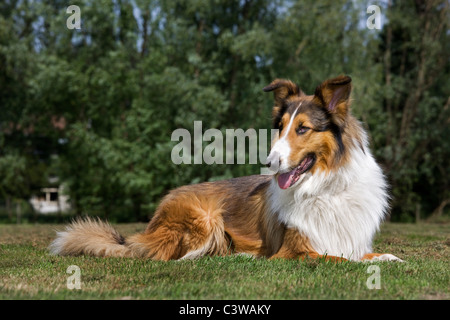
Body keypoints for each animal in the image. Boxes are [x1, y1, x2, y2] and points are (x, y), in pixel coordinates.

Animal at [51, 75, 402, 262]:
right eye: (280, 128)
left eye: (303, 129)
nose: (269, 163)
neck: (324, 188)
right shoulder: (294, 252)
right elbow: (337, 259)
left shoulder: (350, 241)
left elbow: (361, 255)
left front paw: (388, 258)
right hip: (205, 219)